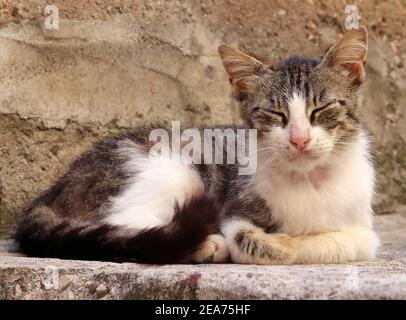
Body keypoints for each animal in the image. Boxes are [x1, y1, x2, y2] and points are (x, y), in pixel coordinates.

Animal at [14, 25, 380, 264]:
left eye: (321, 109)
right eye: (276, 114)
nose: (299, 139)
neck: (308, 181)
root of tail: (56, 186)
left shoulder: (364, 230)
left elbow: (344, 242)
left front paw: (291, 241)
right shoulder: (234, 209)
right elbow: (248, 240)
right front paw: (273, 242)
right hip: (173, 170)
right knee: (122, 225)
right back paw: (203, 245)